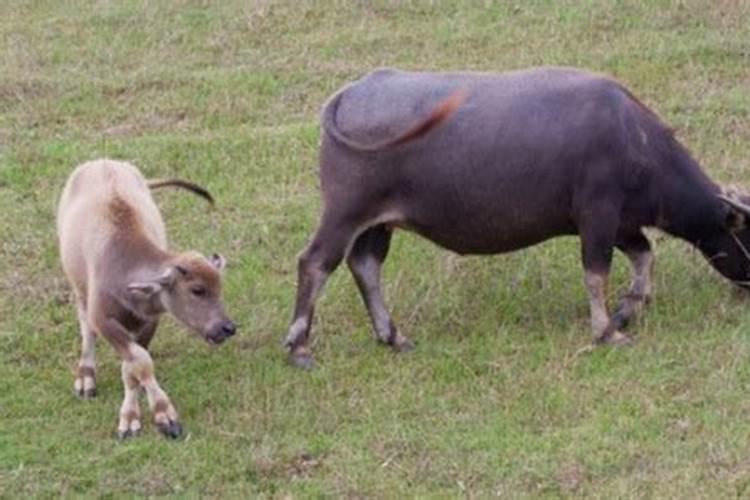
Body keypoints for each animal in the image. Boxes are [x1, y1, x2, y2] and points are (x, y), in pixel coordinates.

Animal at [57, 159, 236, 438]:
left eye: (219, 287)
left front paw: (137, 415)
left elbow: (133, 368)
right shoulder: (104, 320)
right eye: (197, 290)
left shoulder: (149, 322)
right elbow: (140, 362)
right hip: (78, 289)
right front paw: (163, 415)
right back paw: (86, 376)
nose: (227, 328)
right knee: (86, 328)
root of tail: (103, 161)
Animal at [284, 66, 750, 368]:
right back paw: (300, 348)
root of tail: (351, 93)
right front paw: (606, 331)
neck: (634, 138)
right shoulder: (597, 215)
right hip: (345, 213)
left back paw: (393, 336)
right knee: (316, 263)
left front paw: (627, 310)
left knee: (365, 265)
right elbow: (596, 272)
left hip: (376, 224)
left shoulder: (621, 222)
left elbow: (644, 256)